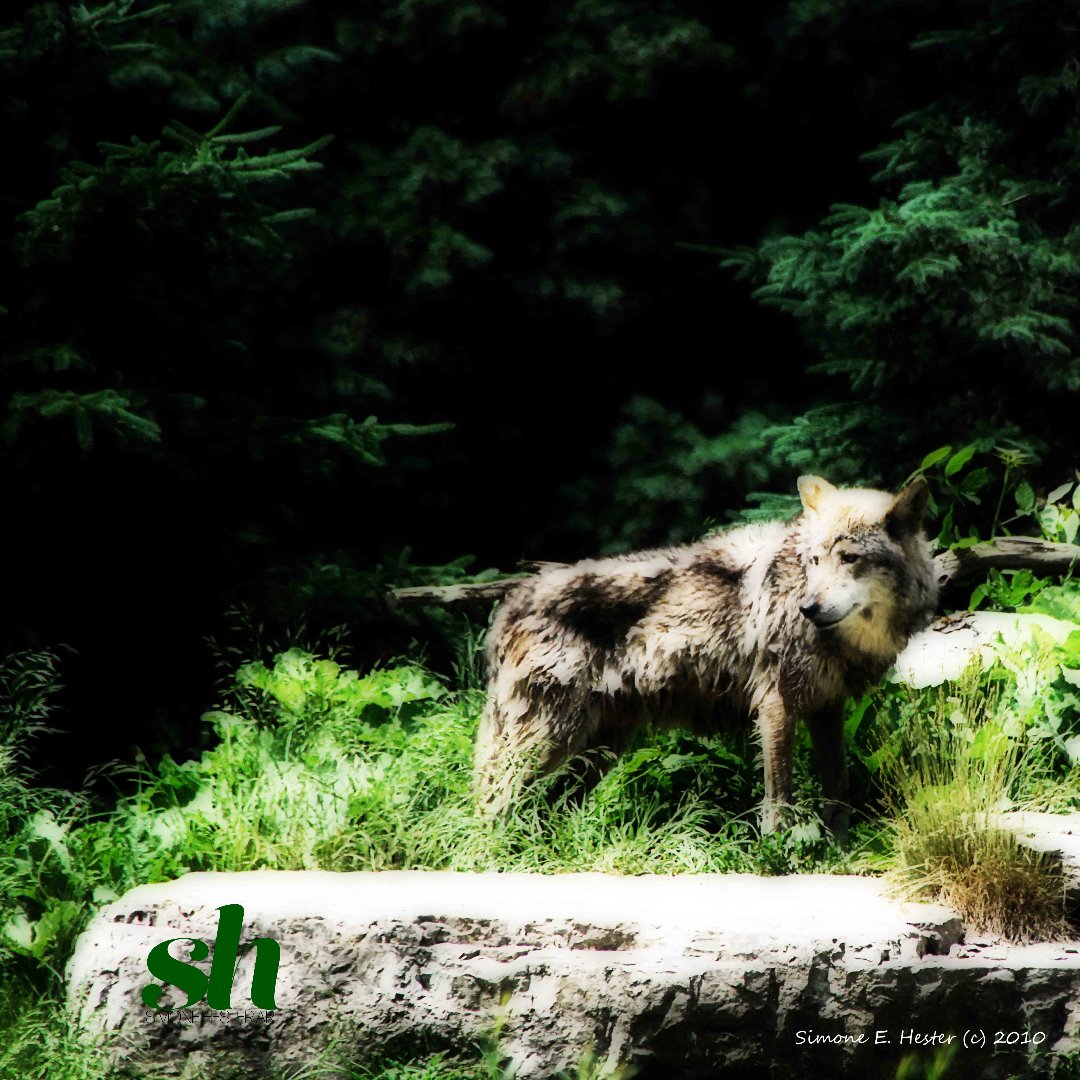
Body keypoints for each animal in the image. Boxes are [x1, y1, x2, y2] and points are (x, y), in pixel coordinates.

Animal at [473, 475, 938, 837]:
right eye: (815, 560)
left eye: (850, 558)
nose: (808, 607)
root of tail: (514, 600)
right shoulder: (776, 707)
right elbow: (779, 799)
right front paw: (781, 853)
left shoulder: (827, 708)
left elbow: (838, 787)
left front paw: (838, 848)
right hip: (543, 744)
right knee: (488, 807)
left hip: (595, 752)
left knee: (549, 810)